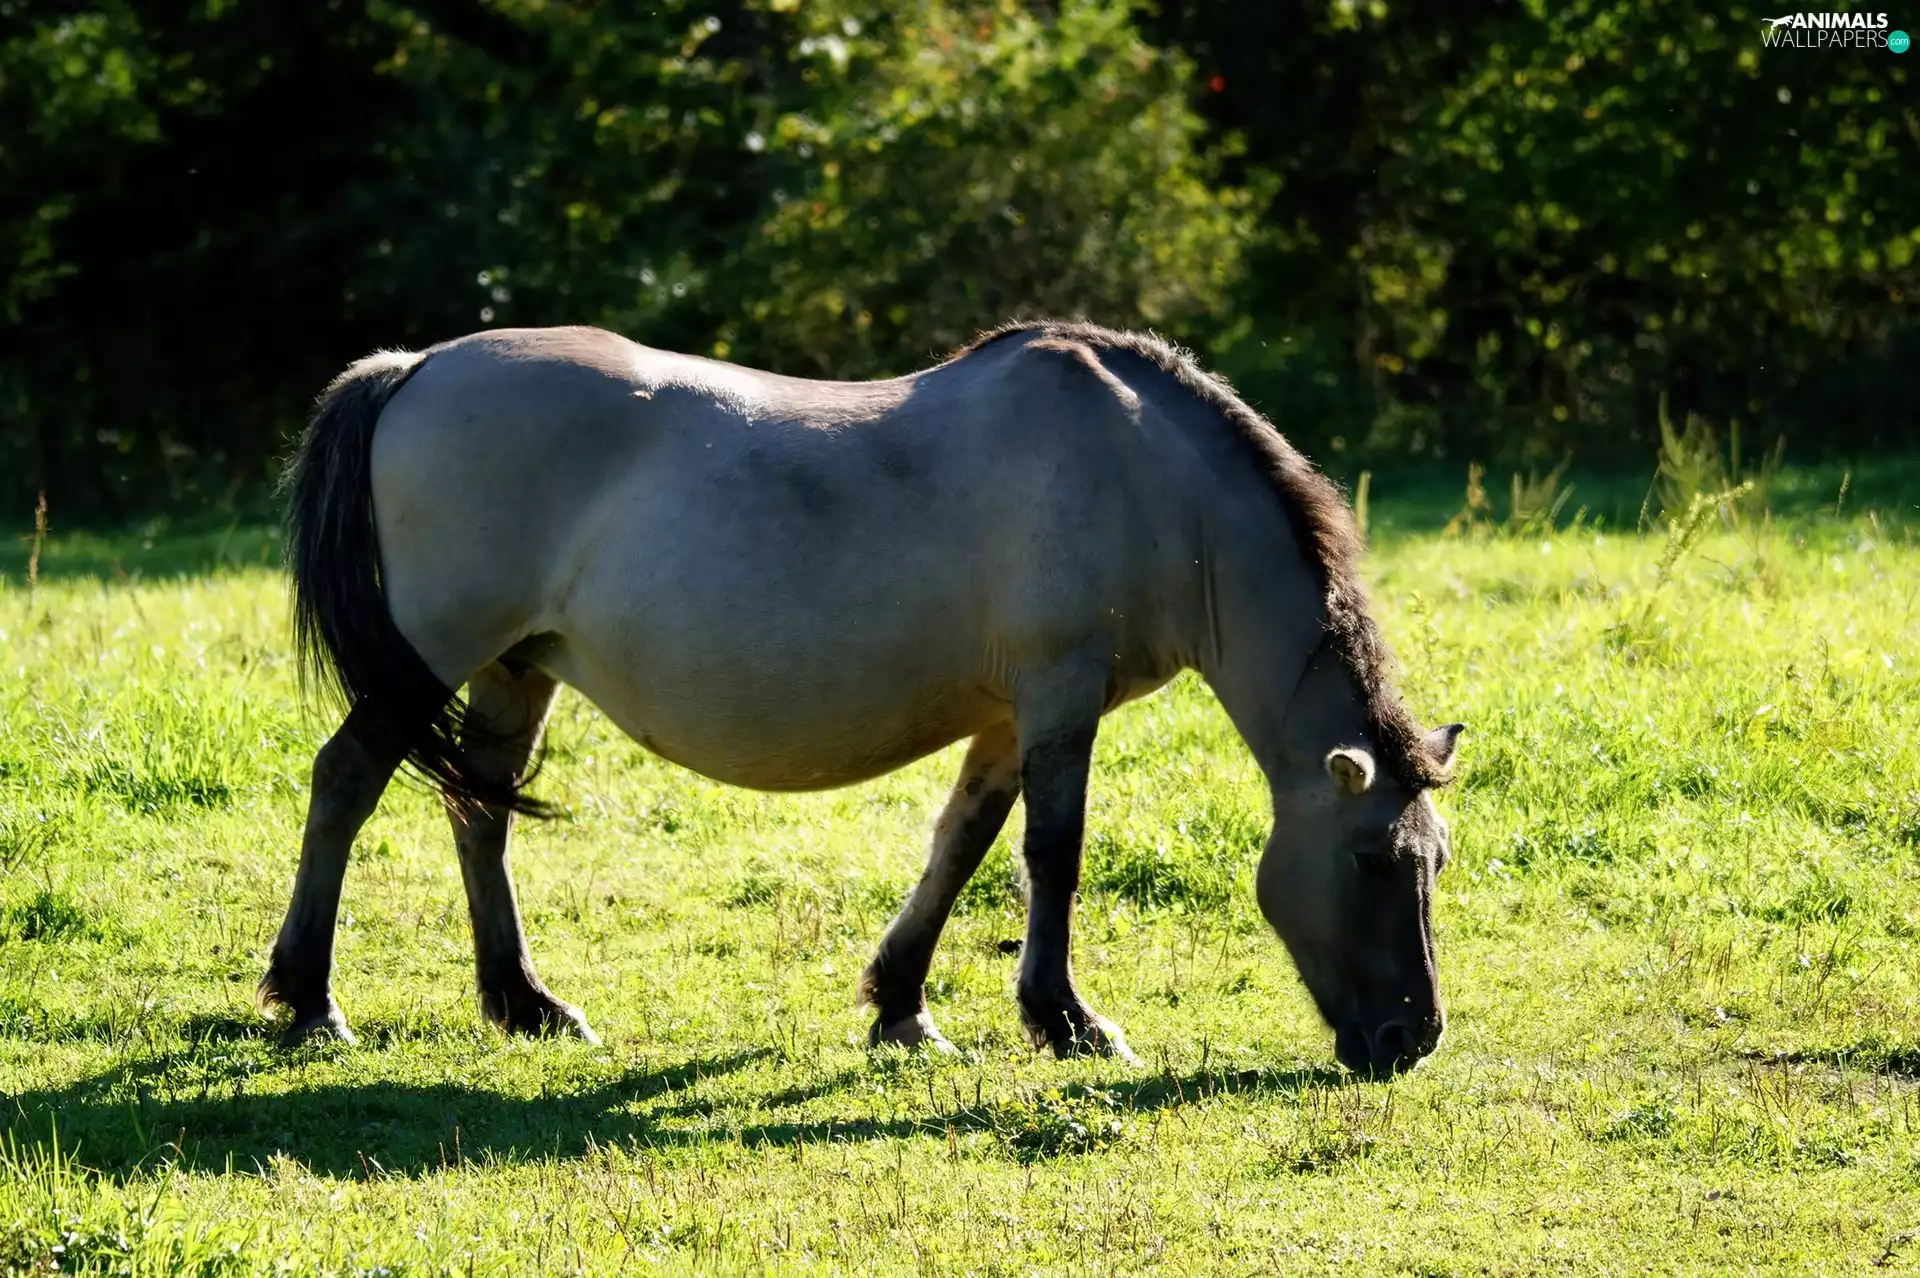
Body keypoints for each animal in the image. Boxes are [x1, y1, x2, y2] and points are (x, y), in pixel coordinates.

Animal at [258, 320, 1463, 1075]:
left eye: (1434, 861)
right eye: (1372, 860)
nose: (1411, 1039)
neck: (1147, 477)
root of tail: (415, 367)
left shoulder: (1007, 716)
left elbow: (961, 846)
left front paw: (903, 1007)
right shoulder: (1060, 695)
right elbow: (1053, 854)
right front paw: (1066, 1021)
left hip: (517, 665)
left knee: (479, 811)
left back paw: (525, 1003)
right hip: (435, 654)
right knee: (347, 780)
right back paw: (309, 1002)